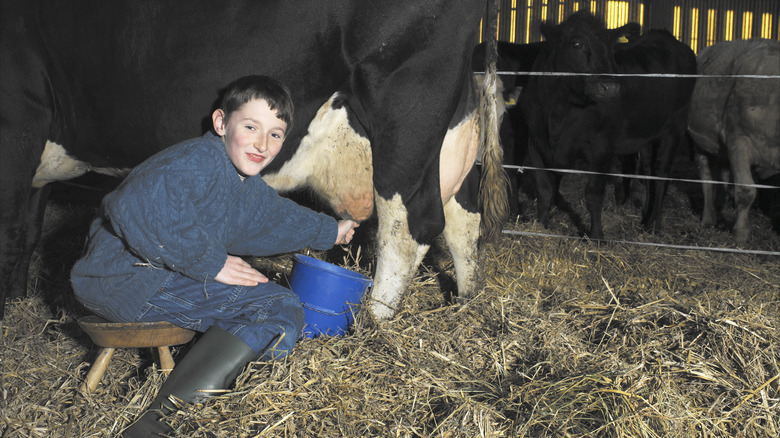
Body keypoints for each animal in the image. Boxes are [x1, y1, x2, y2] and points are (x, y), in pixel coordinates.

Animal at [0, 0, 506, 326]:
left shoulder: (18, 121)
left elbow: (10, 232)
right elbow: (26, 232)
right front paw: (15, 303)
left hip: (406, 102)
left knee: (409, 225)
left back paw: (371, 327)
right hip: (449, 132)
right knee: (462, 221)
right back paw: (467, 304)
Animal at [516, 11, 696, 240]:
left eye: (610, 48)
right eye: (576, 43)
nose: (610, 86)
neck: (558, 112)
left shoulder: (601, 147)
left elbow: (593, 194)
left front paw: (596, 237)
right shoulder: (536, 143)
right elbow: (545, 189)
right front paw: (541, 227)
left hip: (675, 127)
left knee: (661, 173)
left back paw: (653, 227)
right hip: (647, 131)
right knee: (648, 171)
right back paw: (647, 219)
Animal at [688, 39, 780, 243]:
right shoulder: (738, 140)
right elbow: (746, 190)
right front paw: (741, 234)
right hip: (698, 141)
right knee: (706, 177)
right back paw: (708, 218)